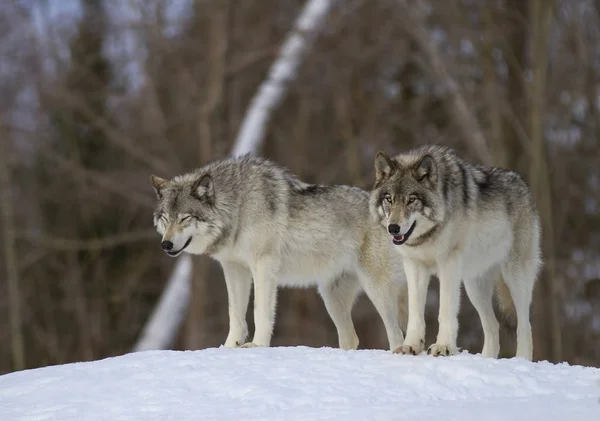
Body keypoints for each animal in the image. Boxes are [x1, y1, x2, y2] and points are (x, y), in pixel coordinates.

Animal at [150, 154, 408, 352]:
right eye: (165, 218)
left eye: (185, 218)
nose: (166, 245)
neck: (238, 208)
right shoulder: (234, 269)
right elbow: (235, 314)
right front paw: (229, 347)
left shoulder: (263, 267)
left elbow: (259, 311)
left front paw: (257, 345)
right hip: (331, 298)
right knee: (352, 338)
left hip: (376, 291)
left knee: (395, 333)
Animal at [368, 145, 540, 360]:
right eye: (389, 199)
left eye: (411, 200)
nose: (393, 228)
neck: (427, 237)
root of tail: (524, 185)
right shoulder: (414, 265)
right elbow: (415, 310)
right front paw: (411, 346)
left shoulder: (448, 264)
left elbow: (445, 309)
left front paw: (443, 347)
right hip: (474, 286)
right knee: (493, 326)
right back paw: (486, 359)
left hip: (515, 278)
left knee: (525, 325)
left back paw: (521, 359)